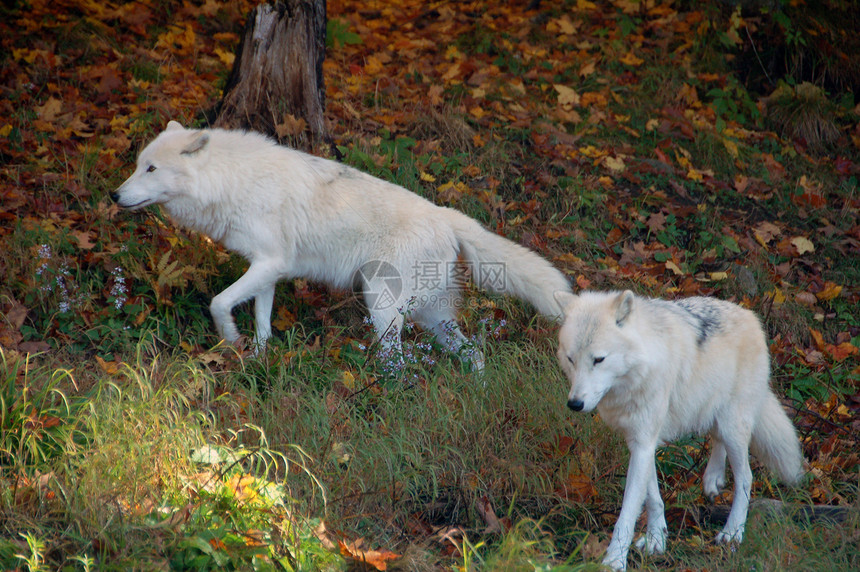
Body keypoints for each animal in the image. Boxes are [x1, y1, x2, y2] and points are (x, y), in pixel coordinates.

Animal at [112, 122, 572, 368]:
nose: (115, 196)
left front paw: (231, 340)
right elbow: (261, 320)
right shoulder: (268, 269)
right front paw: (258, 358)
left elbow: (218, 303)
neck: (232, 180)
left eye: (151, 169)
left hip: (383, 307)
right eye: (137, 166)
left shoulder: (269, 264)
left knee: (400, 364)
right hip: (430, 317)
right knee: (473, 352)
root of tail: (447, 216)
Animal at [556, 292, 804, 568]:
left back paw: (732, 532)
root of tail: (750, 316)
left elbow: (628, 512)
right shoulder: (641, 441)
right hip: (712, 413)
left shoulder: (644, 442)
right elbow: (653, 498)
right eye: (571, 359)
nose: (575, 404)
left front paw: (614, 561)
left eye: (599, 360)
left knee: (746, 478)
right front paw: (657, 539)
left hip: (733, 425)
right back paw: (713, 478)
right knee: (717, 441)